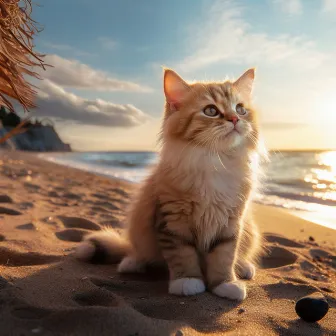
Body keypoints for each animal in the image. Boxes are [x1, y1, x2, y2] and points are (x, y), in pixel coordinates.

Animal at [76, 68, 262, 302]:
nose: (235, 118)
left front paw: (225, 284)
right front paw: (188, 281)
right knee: (137, 251)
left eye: (240, 109)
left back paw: (245, 267)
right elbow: (183, 255)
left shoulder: (231, 221)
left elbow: (224, 256)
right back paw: (132, 263)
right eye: (211, 111)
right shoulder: (172, 220)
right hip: (139, 224)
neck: (215, 160)